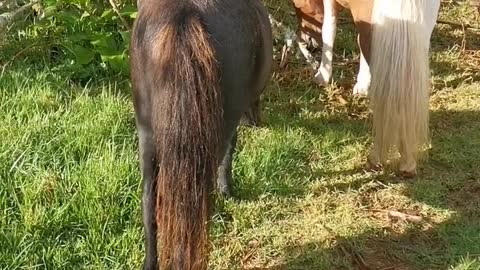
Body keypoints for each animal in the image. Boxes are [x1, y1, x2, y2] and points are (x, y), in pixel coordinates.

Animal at [129, 1, 272, 268]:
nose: (255, 121)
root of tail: (184, 16)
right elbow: (230, 151)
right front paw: (227, 190)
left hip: (146, 134)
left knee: (149, 205)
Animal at [290, 0, 440, 178]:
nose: (308, 41)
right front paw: (361, 85)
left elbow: (329, 30)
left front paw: (323, 76)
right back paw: (408, 162)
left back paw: (379, 159)